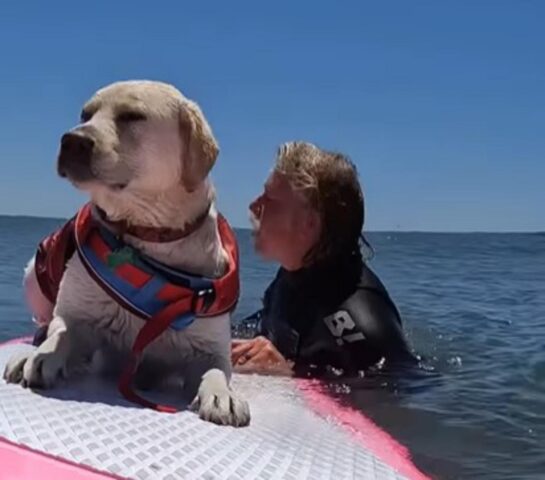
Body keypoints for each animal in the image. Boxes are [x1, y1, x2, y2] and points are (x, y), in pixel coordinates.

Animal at [3, 81, 250, 428]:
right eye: (85, 114)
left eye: (133, 116)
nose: (71, 140)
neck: (144, 235)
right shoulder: (78, 318)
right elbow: (62, 332)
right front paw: (42, 356)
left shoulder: (210, 347)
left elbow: (215, 370)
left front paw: (222, 395)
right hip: (34, 277)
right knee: (45, 320)